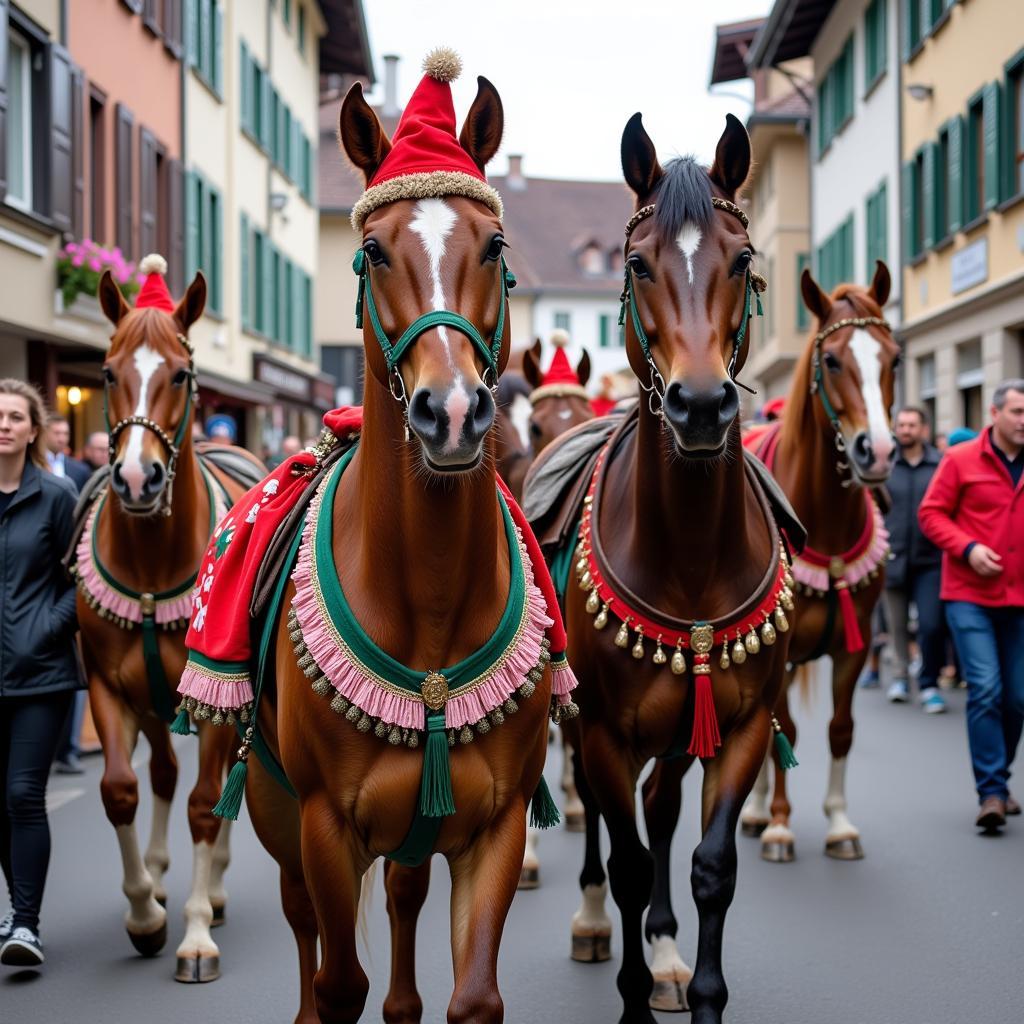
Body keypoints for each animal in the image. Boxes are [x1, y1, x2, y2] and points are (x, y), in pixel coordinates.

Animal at [76, 264, 264, 983]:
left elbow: (205, 804)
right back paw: (157, 879)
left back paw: (214, 890)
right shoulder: (107, 686)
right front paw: (145, 914)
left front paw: (196, 930)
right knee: (157, 772)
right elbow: (121, 789)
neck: (153, 570)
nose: (136, 477)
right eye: (105, 371)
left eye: (182, 374)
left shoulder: (212, 700)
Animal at [242, 74, 557, 1024]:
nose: (450, 412)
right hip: (271, 805)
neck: (430, 596)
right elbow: (338, 977)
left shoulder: (495, 825)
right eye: (374, 252)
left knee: (406, 896)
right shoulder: (321, 823)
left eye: (495, 244)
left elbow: (474, 995)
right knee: (303, 923)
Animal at [532, 114, 794, 1024]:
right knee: (614, 827)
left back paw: (666, 947)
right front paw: (632, 995)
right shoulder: (605, 731)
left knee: (662, 809)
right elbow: (629, 859)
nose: (703, 405)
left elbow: (709, 865)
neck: (690, 556)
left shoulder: (740, 727)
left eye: (743, 261)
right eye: (639, 263)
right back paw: (591, 920)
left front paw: (696, 981)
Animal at [741, 260, 901, 860]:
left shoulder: (855, 649)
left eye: (894, 357)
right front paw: (780, 824)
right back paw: (757, 811)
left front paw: (839, 823)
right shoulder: (779, 646)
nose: (877, 451)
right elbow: (783, 728)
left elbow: (840, 729)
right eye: (831, 360)